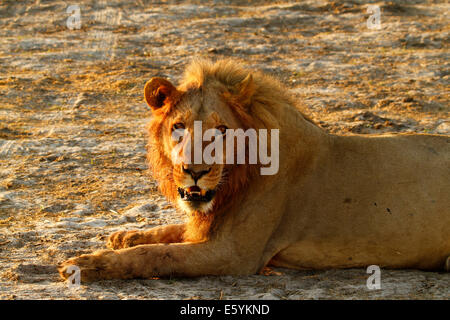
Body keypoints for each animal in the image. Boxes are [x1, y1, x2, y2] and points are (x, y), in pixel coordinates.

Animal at [59, 58, 450, 282]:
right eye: (178, 127)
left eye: (221, 130)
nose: (194, 171)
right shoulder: (207, 224)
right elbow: (168, 232)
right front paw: (125, 235)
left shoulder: (234, 254)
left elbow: (157, 254)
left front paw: (88, 265)